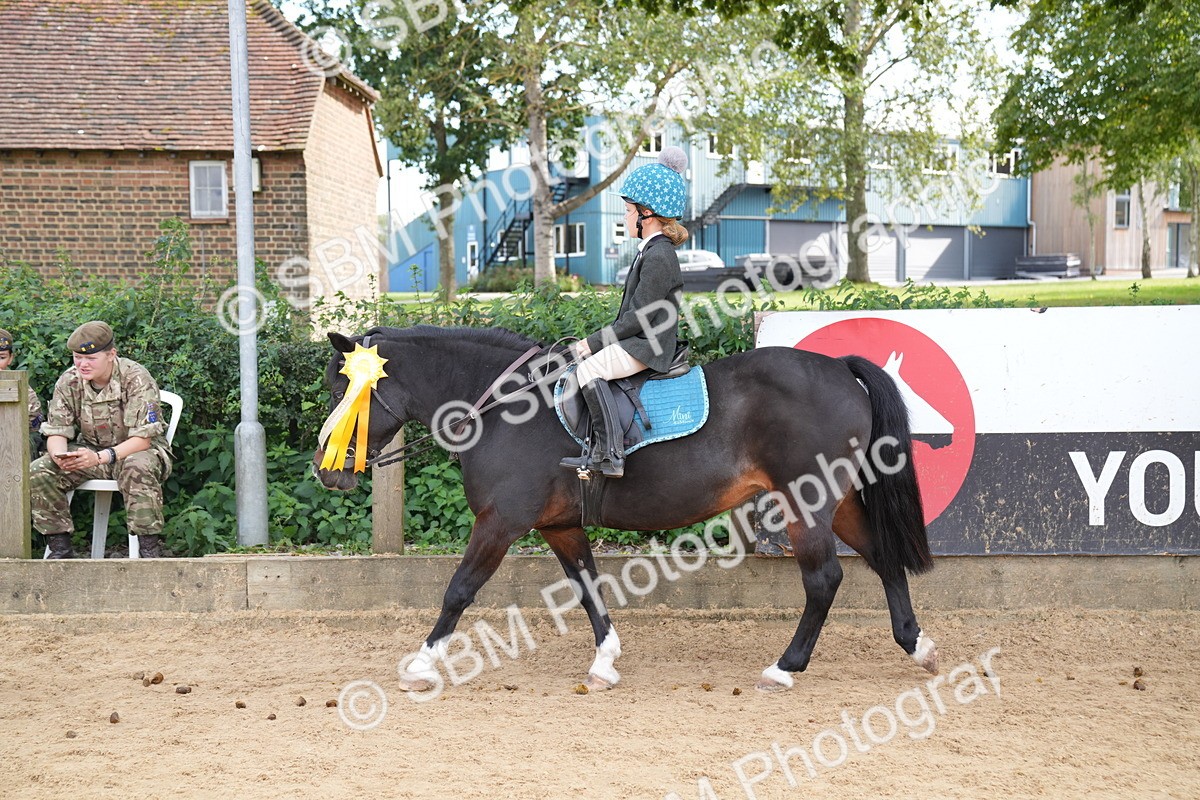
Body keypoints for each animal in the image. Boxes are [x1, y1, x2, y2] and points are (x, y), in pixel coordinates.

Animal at [314, 324, 939, 693]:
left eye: (344, 392)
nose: (326, 471)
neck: (505, 407)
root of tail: (838, 368)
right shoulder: (559, 525)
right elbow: (588, 588)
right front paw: (605, 661)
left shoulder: (501, 522)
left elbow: (459, 590)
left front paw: (421, 663)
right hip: (836, 500)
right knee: (883, 559)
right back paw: (918, 646)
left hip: (805, 500)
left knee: (824, 579)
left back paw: (785, 668)